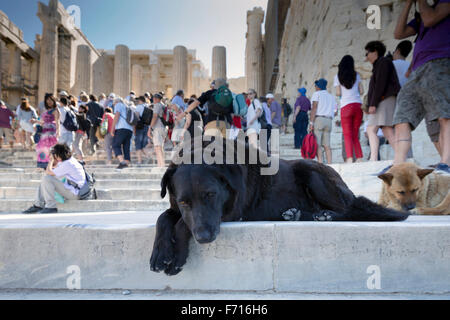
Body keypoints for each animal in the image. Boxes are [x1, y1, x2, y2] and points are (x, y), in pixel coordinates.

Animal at [150, 139, 408, 276]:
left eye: (211, 195)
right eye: (184, 201)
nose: (203, 238)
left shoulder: (229, 212)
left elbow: (182, 224)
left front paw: (176, 256)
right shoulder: (178, 208)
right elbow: (164, 218)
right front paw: (160, 254)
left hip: (310, 171)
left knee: (348, 210)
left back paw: (324, 215)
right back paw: (295, 214)